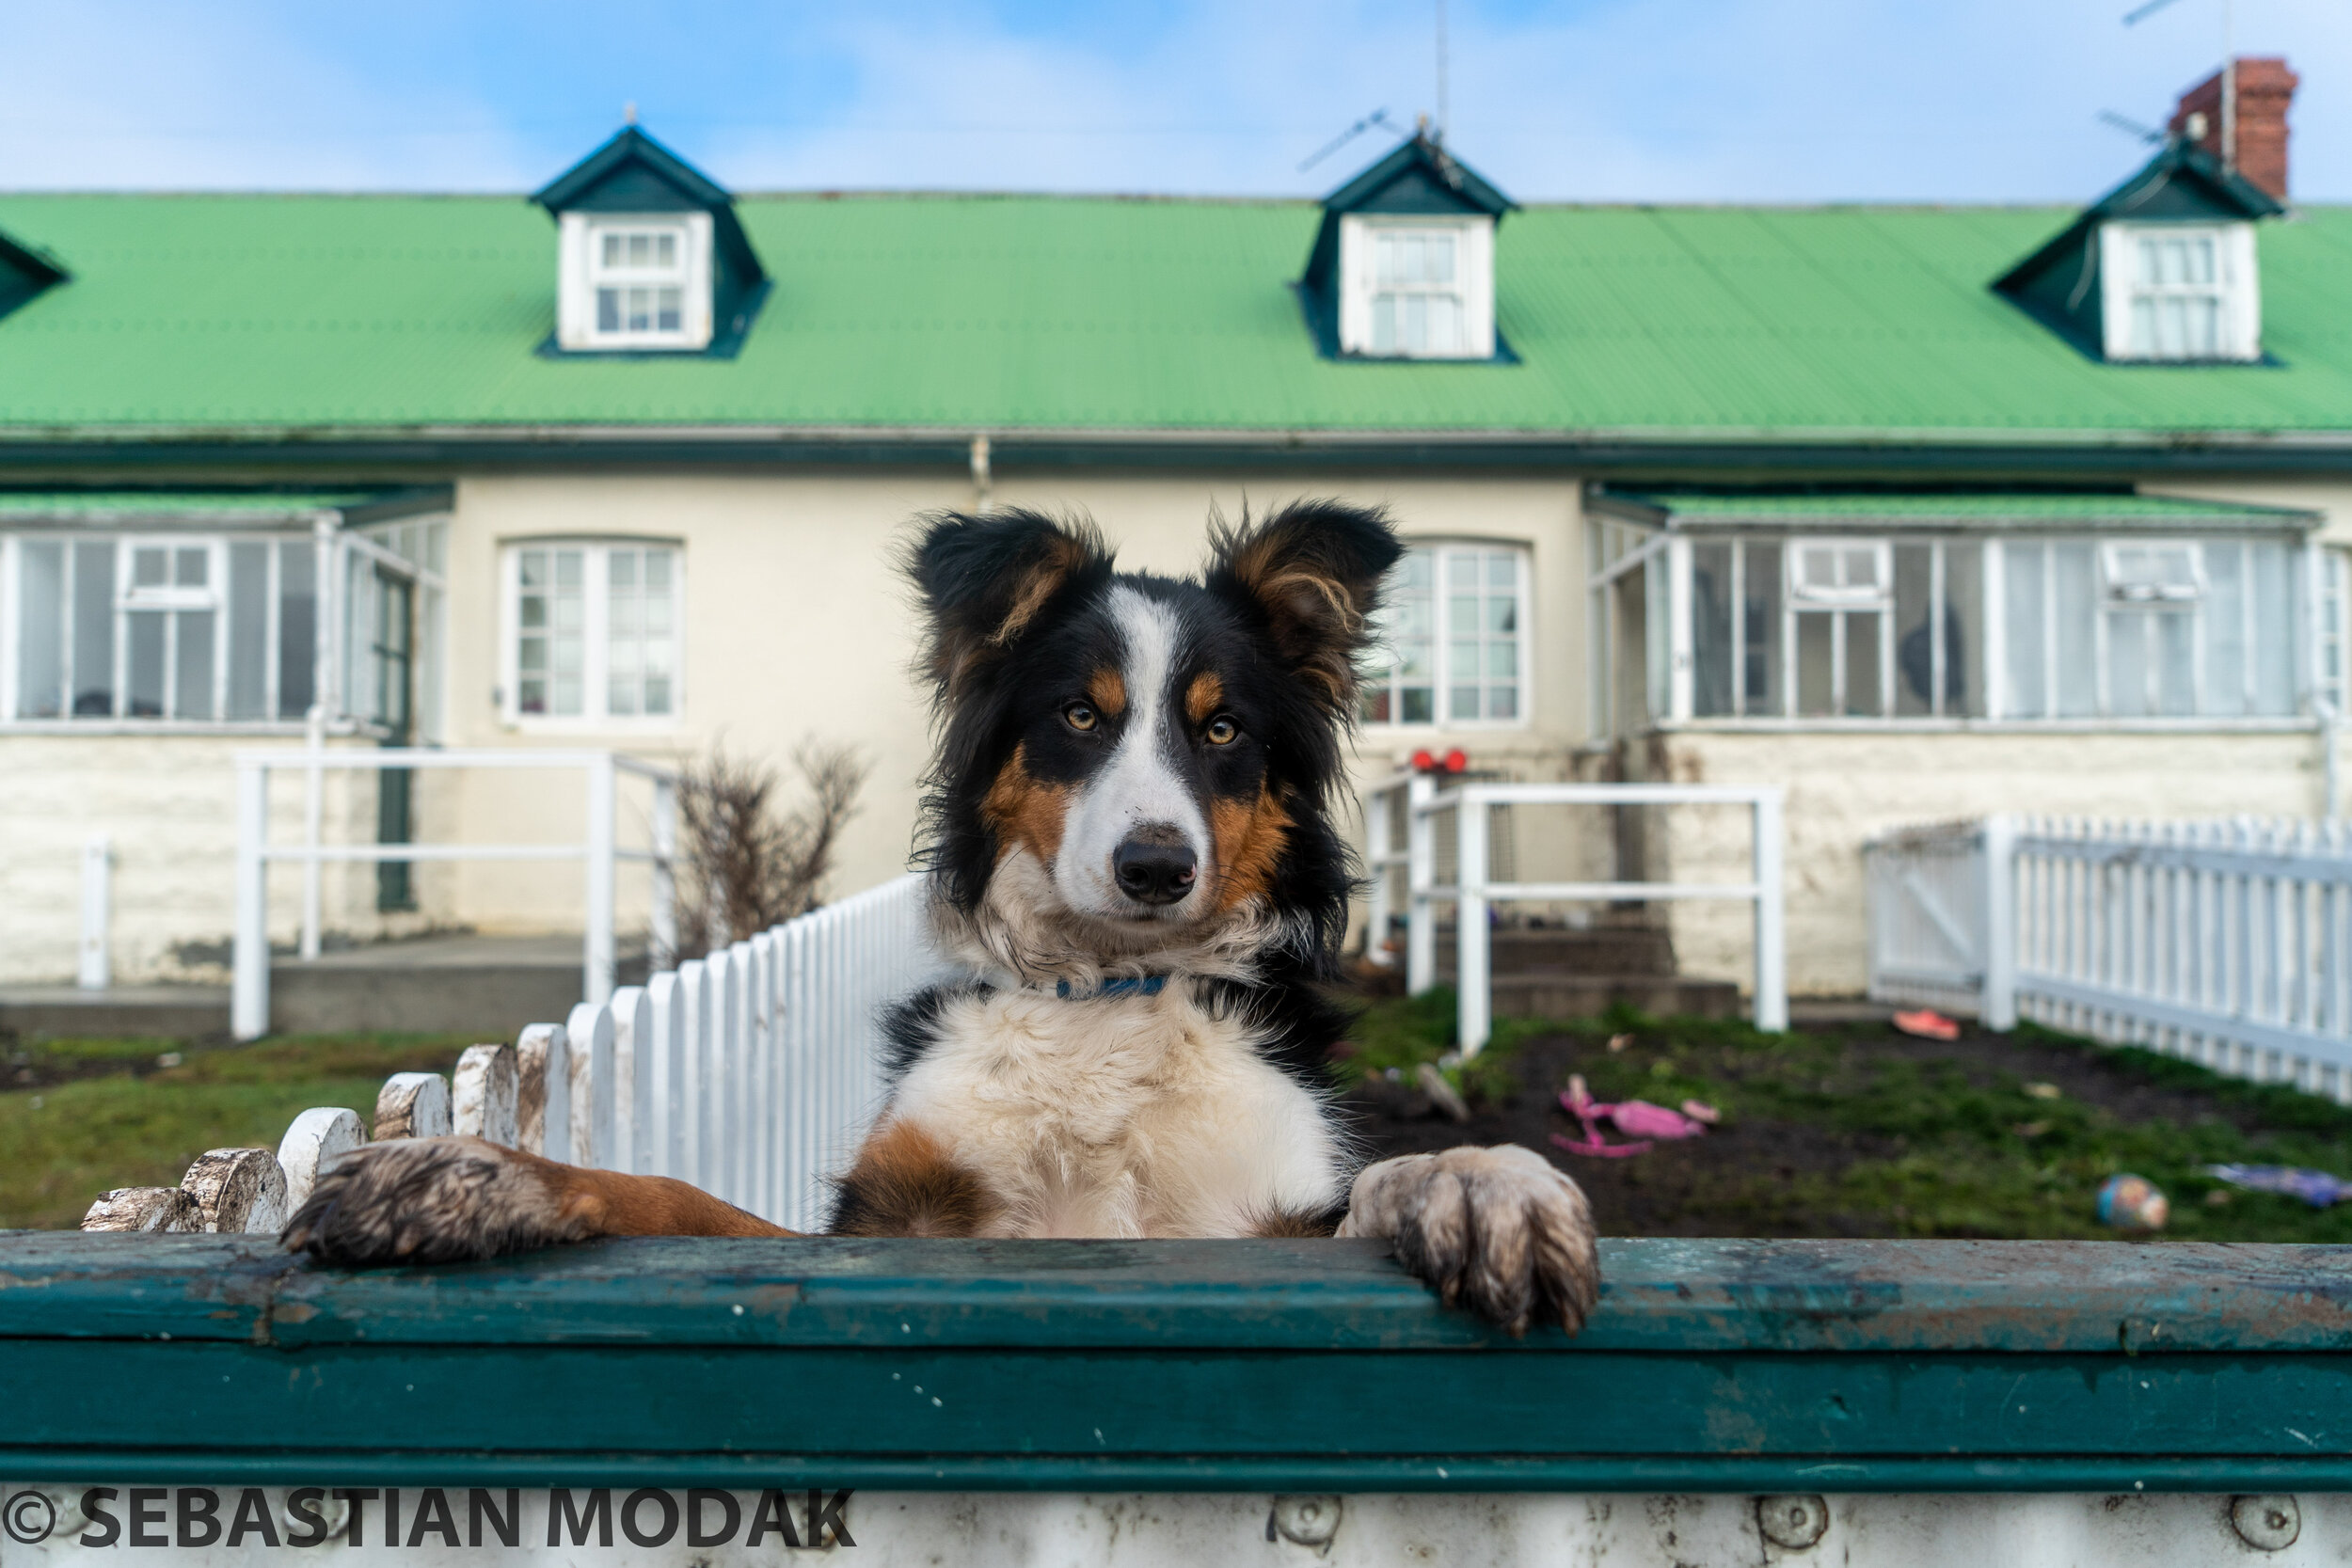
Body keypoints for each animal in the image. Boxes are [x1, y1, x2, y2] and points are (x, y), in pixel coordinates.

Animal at [279, 502, 1599, 1335]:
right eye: (1078, 714)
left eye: (1223, 729)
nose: (1155, 866)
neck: (1107, 998)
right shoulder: (882, 1225)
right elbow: (681, 1197)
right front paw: (475, 1174)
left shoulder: (1261, 1224)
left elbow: (1381, 1193)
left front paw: (1478, 1182)